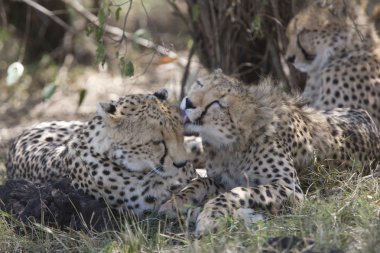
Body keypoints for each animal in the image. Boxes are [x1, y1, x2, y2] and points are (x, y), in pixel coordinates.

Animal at [159, 69, 378, 235]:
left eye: (218, 103)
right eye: (199, 84)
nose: (188, 102)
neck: (232, 144)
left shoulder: (291, 189)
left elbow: (237, 192)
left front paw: (209, 216)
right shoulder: (222, 178)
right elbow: (200, 182)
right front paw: (176, 201)